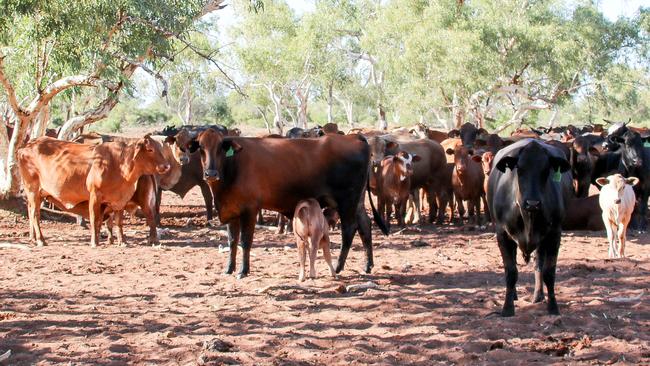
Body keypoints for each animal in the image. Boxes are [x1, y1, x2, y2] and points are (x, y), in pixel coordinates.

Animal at [19, 136, 170, 247]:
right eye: (150, 149)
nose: (166, 166)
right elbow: (94, 219)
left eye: (160, 148)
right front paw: (94, 242)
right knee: (35, 214)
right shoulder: (94, 196)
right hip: (32, 191)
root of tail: (27, 146)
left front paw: (122, 242)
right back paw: (40, 240)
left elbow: (118, 222)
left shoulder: (119, 201)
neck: (119, 164)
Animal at [486, 139, 568, 316]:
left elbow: (549, 272)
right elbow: (511, 272)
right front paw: (507, 308)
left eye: (546, 170)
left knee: (539, 265)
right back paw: (514, 295)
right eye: (520, 168)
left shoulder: (554, 234)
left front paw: (553, 307)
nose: (533, 203)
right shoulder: (502, 234)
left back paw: (538, 295)